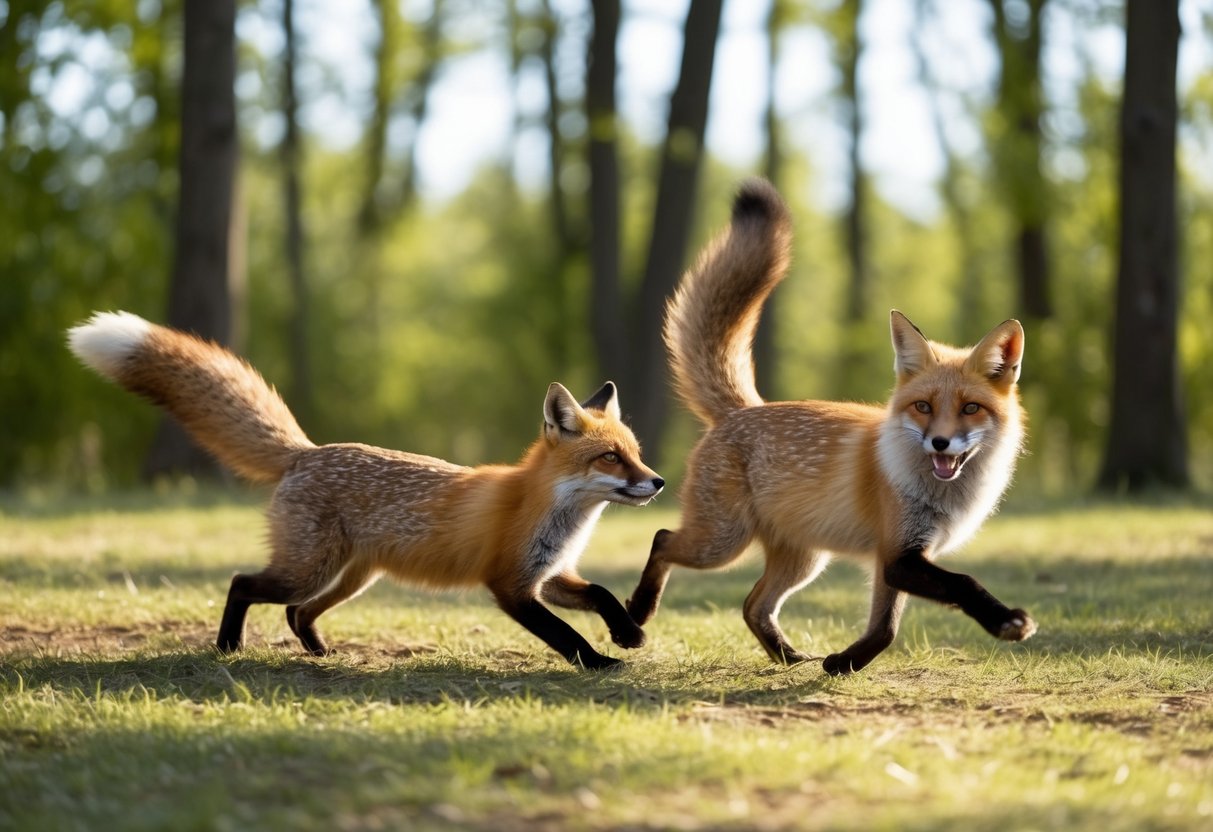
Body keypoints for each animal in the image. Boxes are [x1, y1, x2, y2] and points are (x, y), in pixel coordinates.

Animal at [67, 312, 663, 669]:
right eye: (610, 458)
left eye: (635, 453)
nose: (657, 481)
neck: (553, 513)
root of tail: (306, 452)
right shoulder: (511, 585)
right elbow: (565, 635)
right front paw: (601, 662)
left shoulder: (552, 575)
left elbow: (603, 595)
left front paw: (629, 634)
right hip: (310, 569)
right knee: (243, 584)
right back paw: (229, 647)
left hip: (352, 577)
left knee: (296, 613)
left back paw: (319, 653)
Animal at [626, 178, 1035, 675]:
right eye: (923, 406)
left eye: (970, 408)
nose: (940, 442)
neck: (941, 497)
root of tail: (741, 409)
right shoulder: (898, 554)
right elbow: (963, 583)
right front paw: (1007, 621)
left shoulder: (895, 559)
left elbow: (885, 629)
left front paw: (844, 664)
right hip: (723, 543)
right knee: (663, 539)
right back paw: (637, 614)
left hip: (803, 558)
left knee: (752, 605)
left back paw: (787, 657)